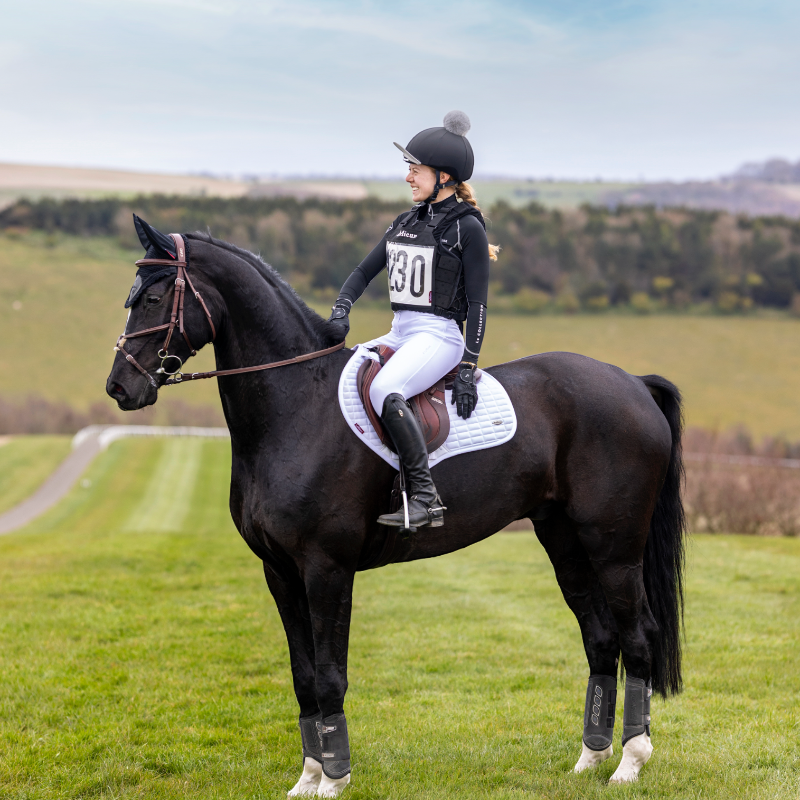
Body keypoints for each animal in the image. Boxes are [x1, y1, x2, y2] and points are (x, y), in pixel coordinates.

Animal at [106, 223, 686, 796]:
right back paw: (590, 759)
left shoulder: (327, 569)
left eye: (154, 298)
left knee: (637, 637)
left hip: (614, 550)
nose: (120, 387)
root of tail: (633, 384)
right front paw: (308, 777)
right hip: (564, 541)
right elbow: (303, 676)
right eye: (132, 297)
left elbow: (330, 674)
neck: (297, 406)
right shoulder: (280, 572)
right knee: (600, 638)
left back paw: (629, 763)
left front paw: (334, 777)